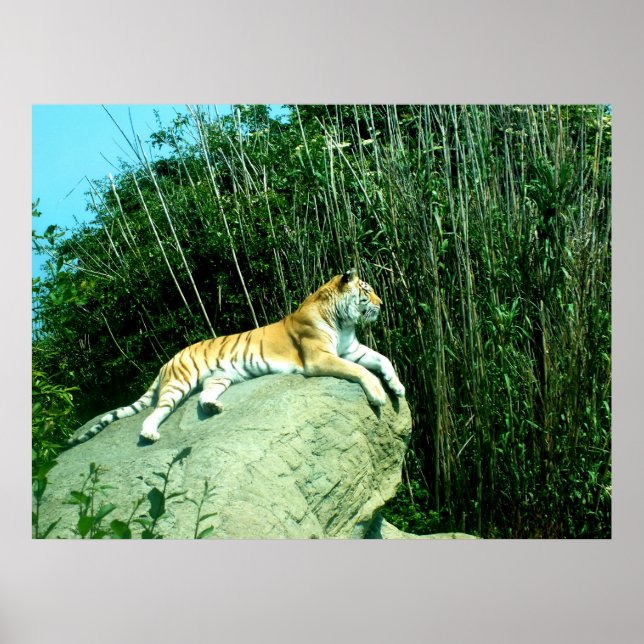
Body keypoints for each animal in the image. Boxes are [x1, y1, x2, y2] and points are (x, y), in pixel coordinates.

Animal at [68, 268, 405, 445]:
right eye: (367, 291)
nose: (383, 303)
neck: (342, 320)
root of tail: (167, 361)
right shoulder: (320, 358)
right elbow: (361, 371)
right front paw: (379, 395)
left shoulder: (351, 349)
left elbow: (382, 359)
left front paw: (398, 386)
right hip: (179, 384)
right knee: (156, 412)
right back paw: (150, 433)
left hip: (220, 378)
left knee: (205, 396)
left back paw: (213, 407)